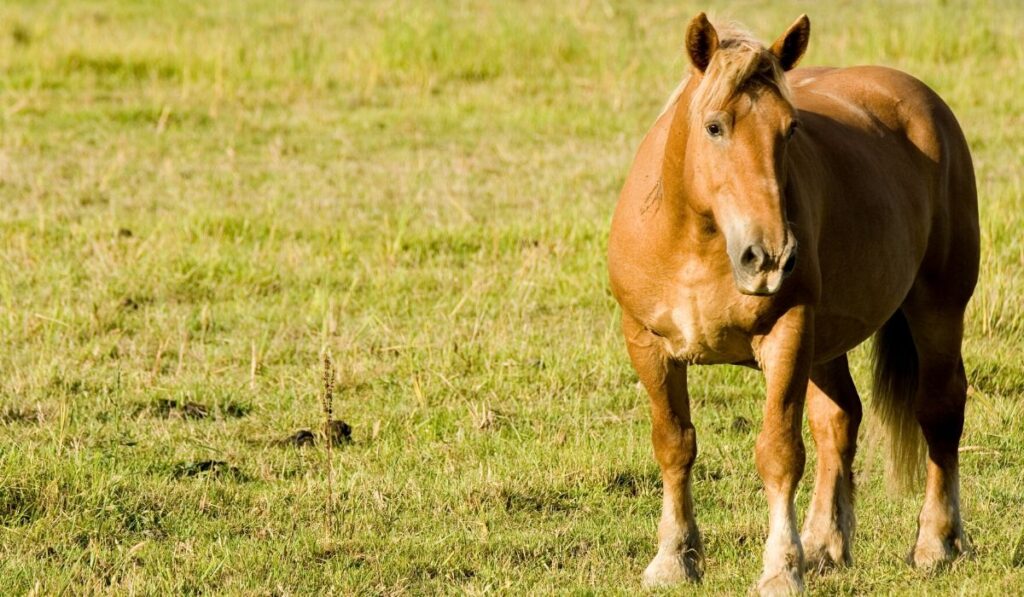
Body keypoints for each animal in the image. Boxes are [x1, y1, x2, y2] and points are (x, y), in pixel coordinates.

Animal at [602, 11, 978, 593]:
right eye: (714, 126)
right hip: (826, 345)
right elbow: (674, 443)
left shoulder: (787, 335)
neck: (695, 243)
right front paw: (674, 558)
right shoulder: (647, 343)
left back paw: (936, 542)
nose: (771, 257)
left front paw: (781, 567)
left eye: (791, 129)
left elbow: (779, 453)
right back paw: (825, 545)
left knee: (939, 410)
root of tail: (924, 103)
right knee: (839, 419)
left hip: (936, 308)